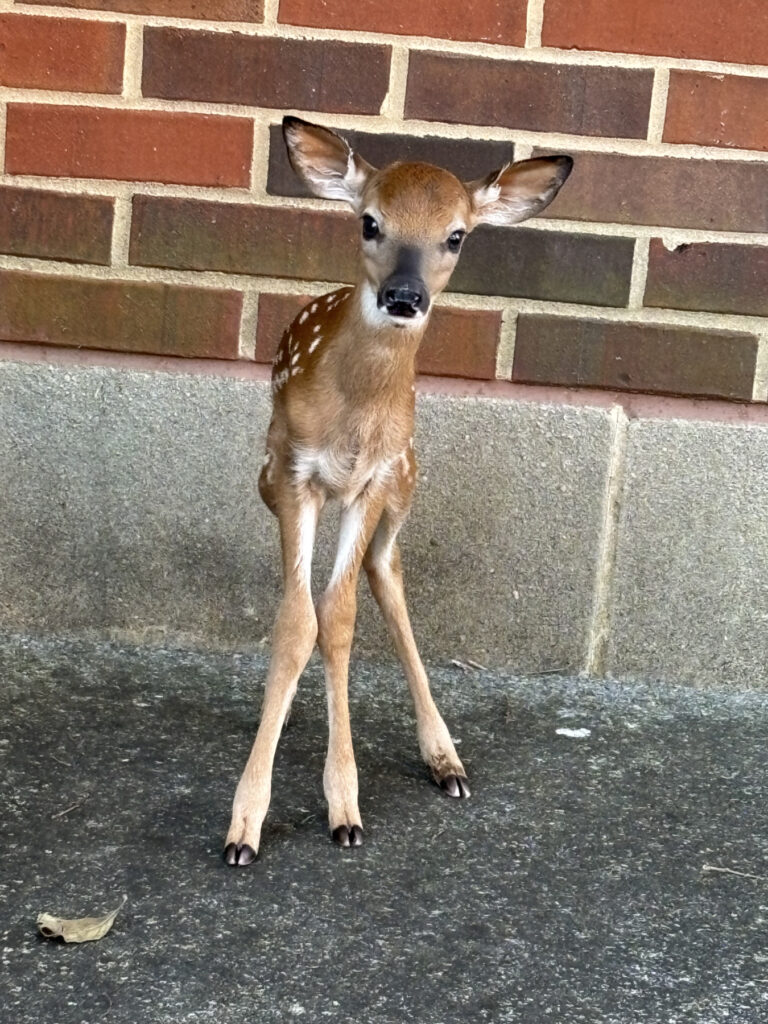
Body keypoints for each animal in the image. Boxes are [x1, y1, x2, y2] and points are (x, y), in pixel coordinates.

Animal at [224, 117, 572, 865]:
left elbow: (339, 619)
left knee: (386, 575)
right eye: (370, 221)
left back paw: (446, 759)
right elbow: (297, 624)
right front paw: (245, 824)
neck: (353, 415)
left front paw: (345, 808)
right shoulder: (293, 475)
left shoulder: (373, 482)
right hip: (273, 473)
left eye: (457, 235)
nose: (405, 297)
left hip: (405, 484)